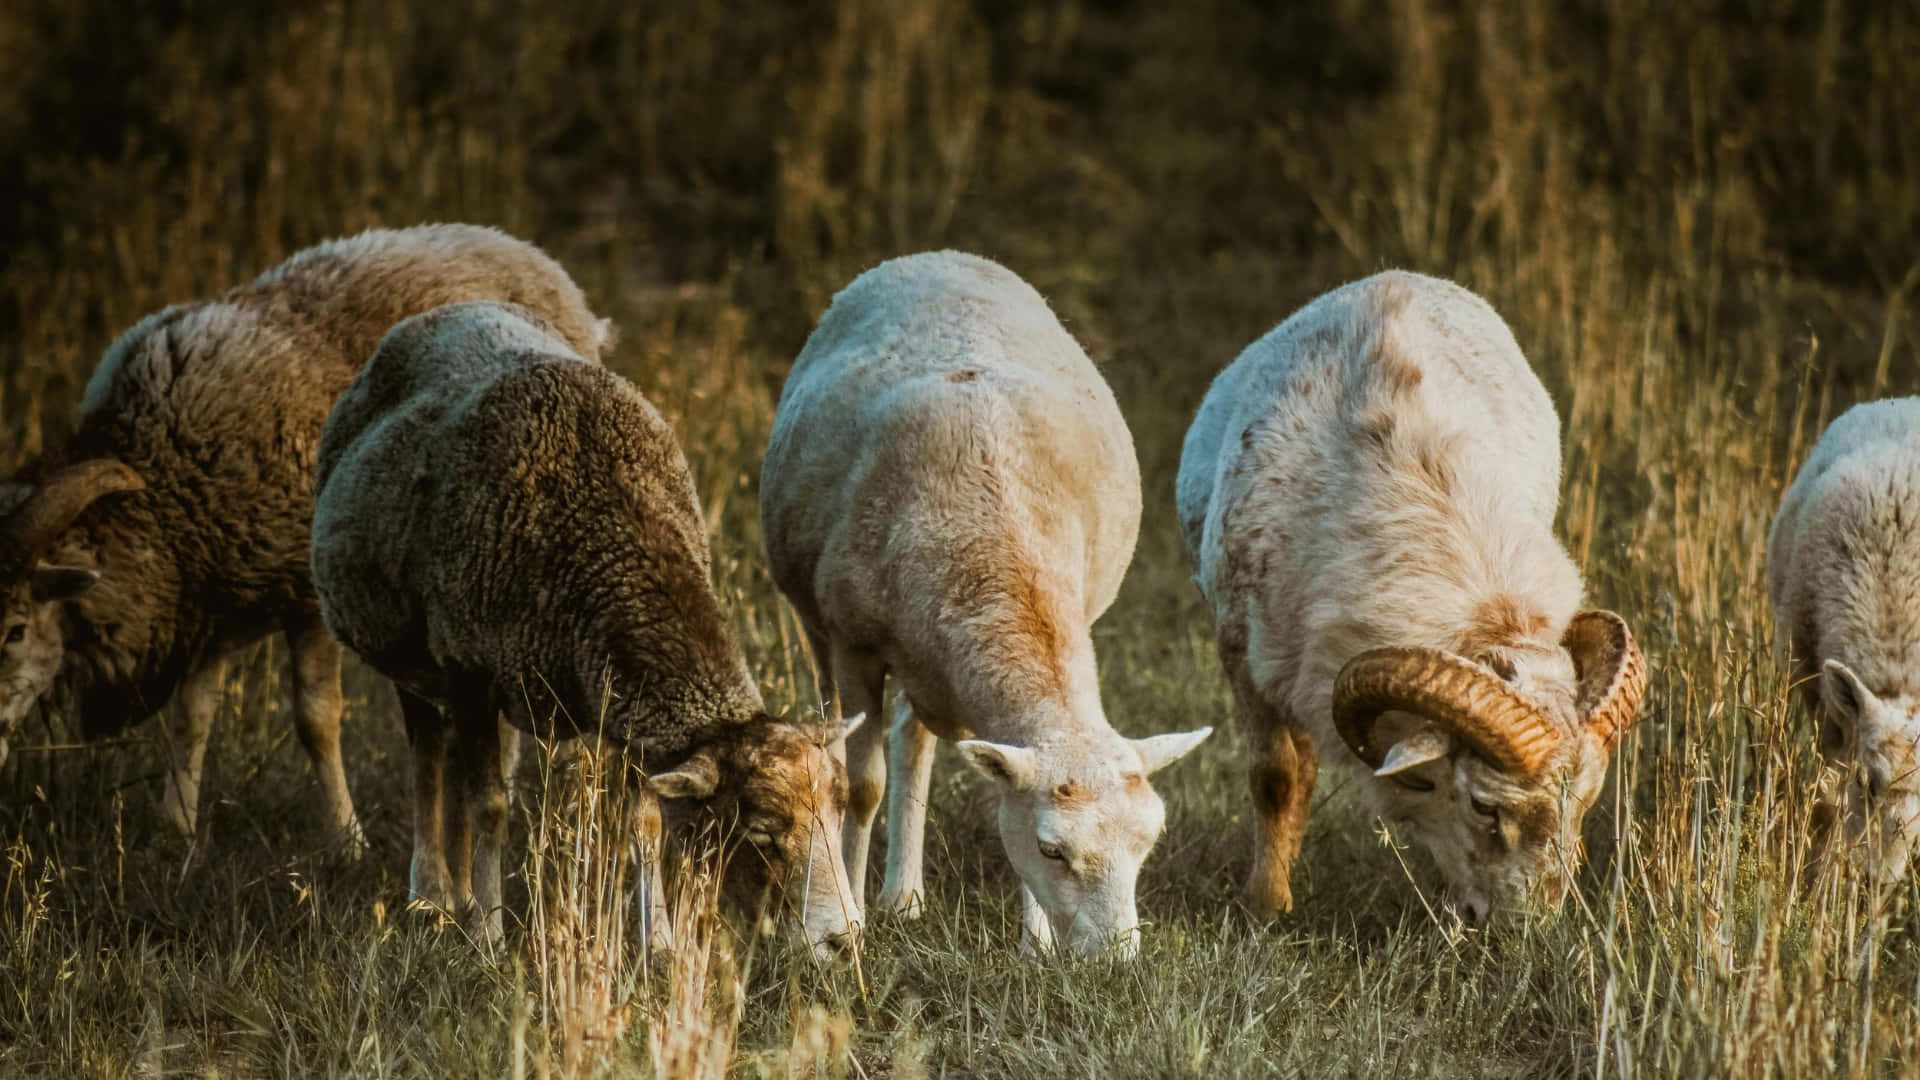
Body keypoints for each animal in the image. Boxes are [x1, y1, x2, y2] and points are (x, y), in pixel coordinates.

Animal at [0, 224, 611, 851]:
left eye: (16, 630)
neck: (160, 486)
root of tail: (518, 248)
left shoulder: (305, 592)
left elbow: (316, 718)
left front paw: (347, 839)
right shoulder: (211, 601)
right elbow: (193, 718)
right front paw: (178, 830)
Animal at [312, 300, 862, 954]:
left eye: (841, 810)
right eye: (758, 831)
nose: (843, 940)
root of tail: (451, 308)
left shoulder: (628, 705)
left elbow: (644, 822)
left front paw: (659, 943)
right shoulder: (469, 670)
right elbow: (489, 804)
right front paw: (490, 935)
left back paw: (457, 892)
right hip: (413, 653)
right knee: (427, 758)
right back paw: (432, 895)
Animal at [761, 251, 1212, 959]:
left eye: (1149, 842)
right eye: (1053, 850)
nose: (1116, 961)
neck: (995, 558)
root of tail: (939, 256)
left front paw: (1035, 947)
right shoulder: (855, 642)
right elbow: (861, 787)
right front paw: (850, 919)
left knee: (912, 739)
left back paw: (906, 897)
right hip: (818, 625)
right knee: (841, 745)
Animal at [1176, 270, 1646, 923]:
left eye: (1585, 802)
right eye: (1482, 806)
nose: (1525, 930)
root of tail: (1395, 278)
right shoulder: (1244, 654)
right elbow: (1275, 779)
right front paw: (1267, 906)